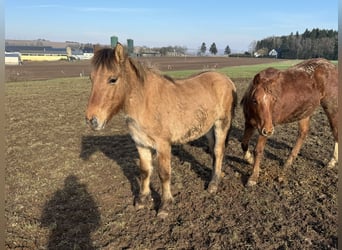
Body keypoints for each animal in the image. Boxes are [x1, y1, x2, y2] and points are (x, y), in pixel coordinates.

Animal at [85, 43, 238, 217]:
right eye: (91, 78)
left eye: (112, 79)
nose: (92, 120)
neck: (145, 102)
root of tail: (227, 80)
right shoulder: (140, 143)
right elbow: (145, 171)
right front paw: (142, 199)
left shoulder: (163, 145)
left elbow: (164, 174)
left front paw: (165, 205)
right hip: (208, 128)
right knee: (214, 151)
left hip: (222, 124)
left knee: (219, 151)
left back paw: (213, 184)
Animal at [242, 58, 338, 187]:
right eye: (255, 100)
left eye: (274, 99)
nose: (268, 130)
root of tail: (331, 66)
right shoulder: (249, 124)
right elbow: (244, 143)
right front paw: (249, 159)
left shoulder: (266, 128)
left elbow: (258, 150)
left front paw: (253, 177)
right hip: (304, 112)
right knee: (303, 133)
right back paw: (288, 162)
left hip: (331, 107)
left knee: (335, 131)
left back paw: (332, 161)